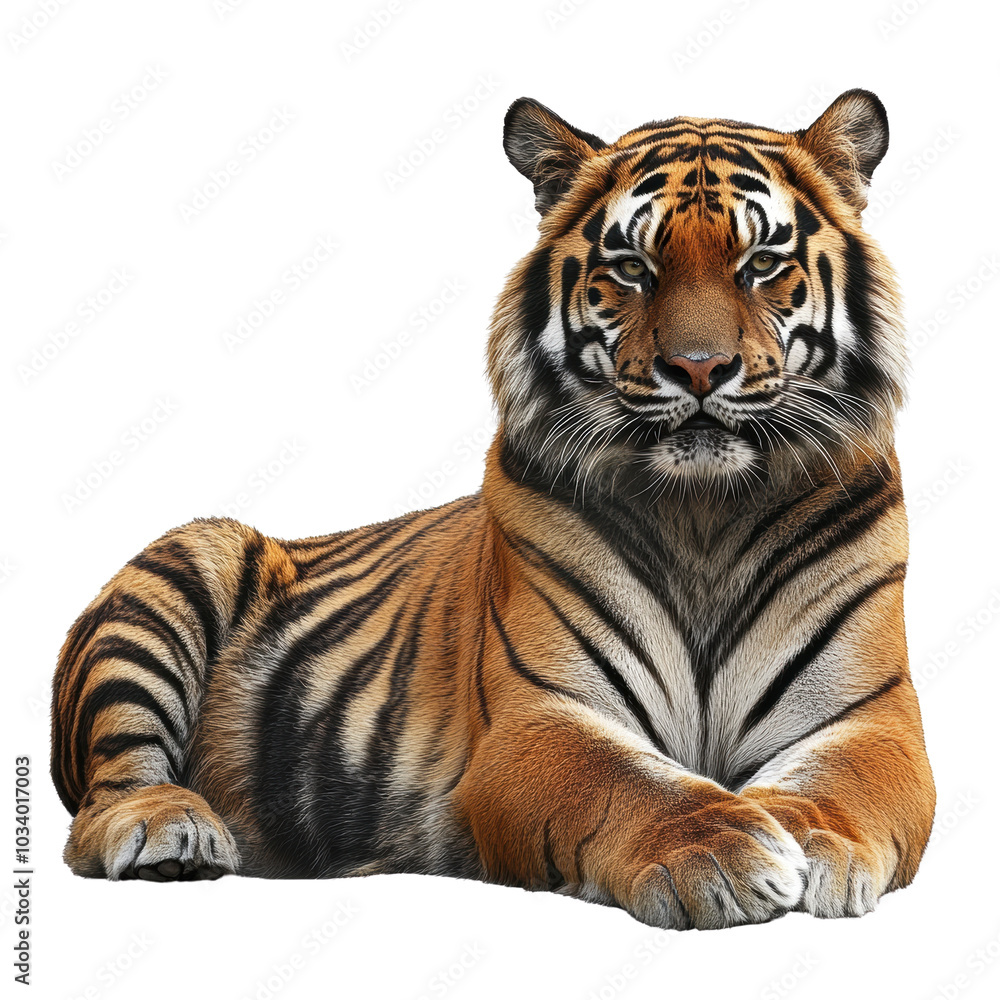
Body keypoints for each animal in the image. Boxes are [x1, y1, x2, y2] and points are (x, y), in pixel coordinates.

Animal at [51, 88, 935, 930]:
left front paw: (813, 845)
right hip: (181, 569)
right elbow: (631, 784)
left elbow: (838, 785)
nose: (698, 367)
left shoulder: (872, 719)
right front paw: (724, 854)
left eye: (760, 263)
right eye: (633, 267)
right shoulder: (538, 719)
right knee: (101, 798)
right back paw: (170, 830)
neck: (704, 513)